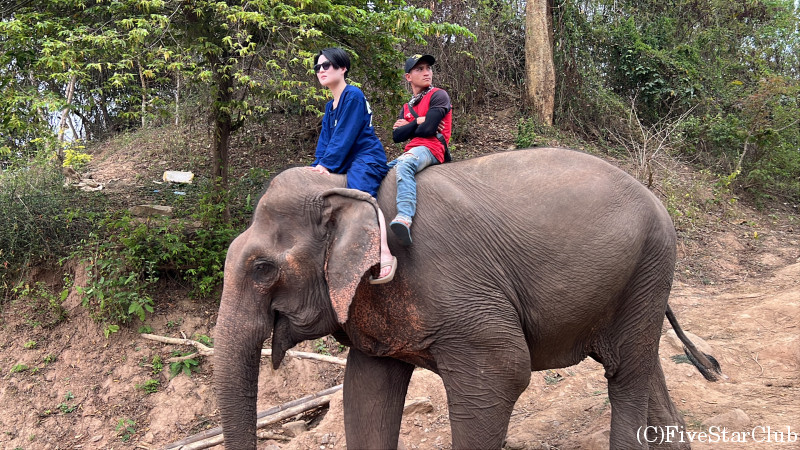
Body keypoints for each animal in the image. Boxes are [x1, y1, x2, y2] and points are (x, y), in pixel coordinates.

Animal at [214, 147, 721, 449]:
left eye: (262, 269)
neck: (348, 188)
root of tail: (656, 199)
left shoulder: (455, 286)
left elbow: (503, 371)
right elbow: (366, 389)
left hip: (650, 263)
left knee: (625, 374)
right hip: (636, 281)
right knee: (641, 362)